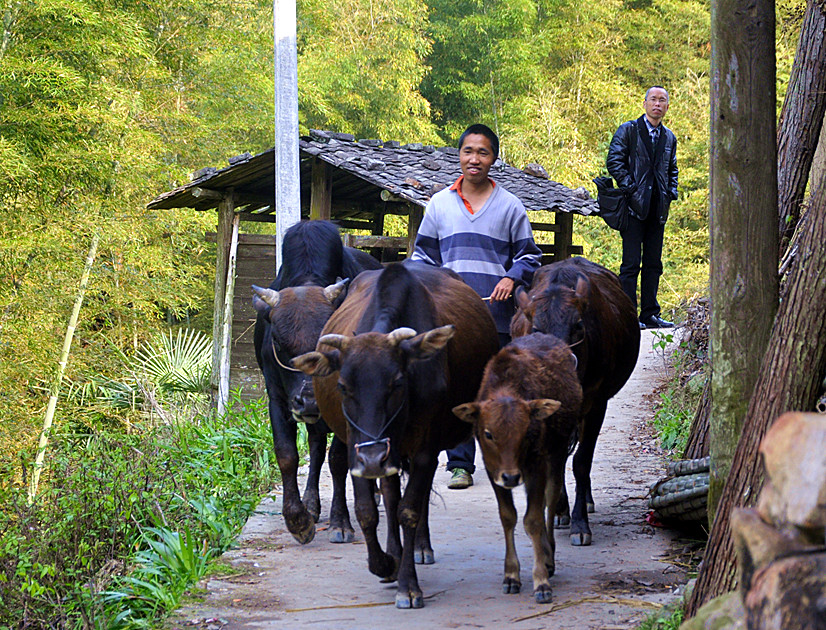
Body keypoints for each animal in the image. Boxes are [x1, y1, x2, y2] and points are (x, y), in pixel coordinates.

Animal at [249, 220, 382, 544]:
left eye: (331, 341)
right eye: (278, 341)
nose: (309, 401)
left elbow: (339, 460)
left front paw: (340, 522)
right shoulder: (278, 399)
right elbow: (288, 454)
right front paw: (298, 519)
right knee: (316, 447)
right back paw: (311, 504)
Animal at [292, 262, 496, 612]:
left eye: (397, 382)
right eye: (343, 386)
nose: (374, 459)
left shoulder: (425, 447)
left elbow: (409, 510)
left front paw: (407, 585)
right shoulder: (358, 448)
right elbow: (368, 510)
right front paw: (385, 563)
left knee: (416, 497)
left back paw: (420, 548)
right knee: (389, 493)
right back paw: (396, 551)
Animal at [450, 336, 580, 608]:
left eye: (526, 431)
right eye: (488, 433)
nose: (511, 476)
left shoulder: (537, 464)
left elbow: (533, 519)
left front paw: (541, 581)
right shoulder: (493, 469)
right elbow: (508, 516)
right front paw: (511, 575)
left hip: (558, 450)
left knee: (551, 499)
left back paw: (549, 556)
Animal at [508, 256, 636, 548]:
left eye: (578, 326)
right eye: (536, 329)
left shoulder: (597, 403)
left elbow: (581, 461)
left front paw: (579, 523)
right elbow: (554, 461)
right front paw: (558, 509)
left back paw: (585, 501)